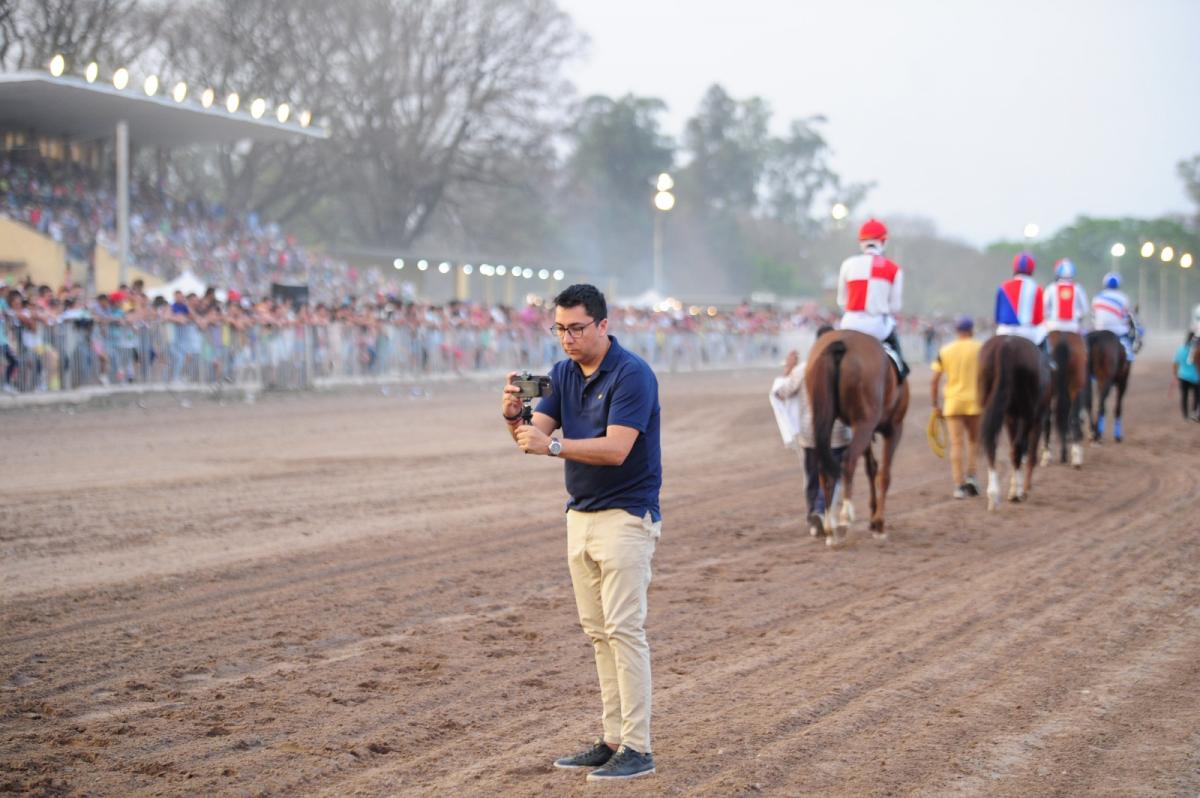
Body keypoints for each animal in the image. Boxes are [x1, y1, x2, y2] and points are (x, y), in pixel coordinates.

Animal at [806, 328, 907, 547]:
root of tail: (840, 343)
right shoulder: (894, 428)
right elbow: (884, 474)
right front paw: (879, 524)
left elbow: (871, 468)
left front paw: (873, 521)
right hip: (865, 424)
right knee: (849, 460)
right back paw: (845, 518)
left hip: (825, 417)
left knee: (824, 467)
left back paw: (830, 527)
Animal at [979, 333, 1046, 511]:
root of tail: (1006, 345)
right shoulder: (1035, 418)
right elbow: (1026, 453)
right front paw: (1020, 491)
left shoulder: (1010, 417)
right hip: (1028, 414)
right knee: (1017, 448)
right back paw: (1017, 494)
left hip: (987, 405)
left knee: (991, 445)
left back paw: (993, 495)